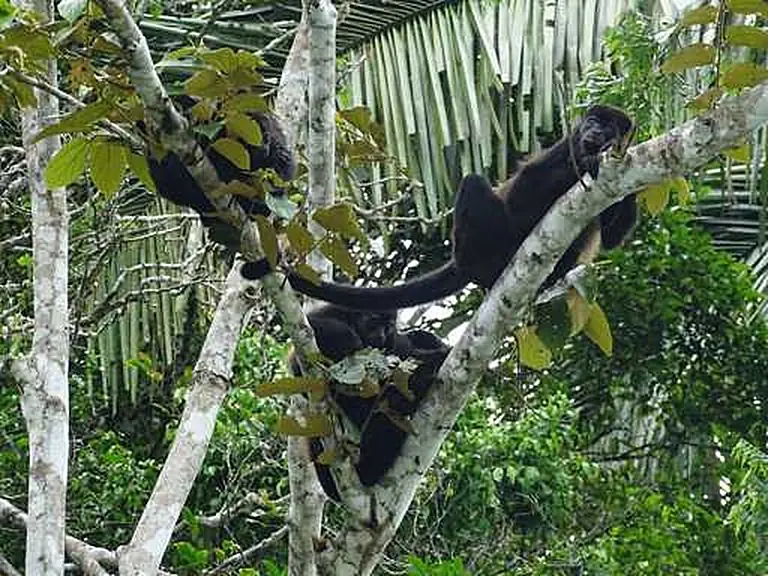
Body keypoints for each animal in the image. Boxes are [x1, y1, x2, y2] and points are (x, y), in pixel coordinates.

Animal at [242, 105, 636, 309]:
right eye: (592, 121)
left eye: (609, 127)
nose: (595, 132)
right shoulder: (562, 145)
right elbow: (525, 191)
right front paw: (584, 160)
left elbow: (612, 237)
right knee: (474, 184)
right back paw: (484, 265)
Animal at [288, 304, 449, 500]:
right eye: (373, 320)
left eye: (387, 326)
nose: (381, 336)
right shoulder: (326, 316)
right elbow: (313, 333)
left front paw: (428, 343)